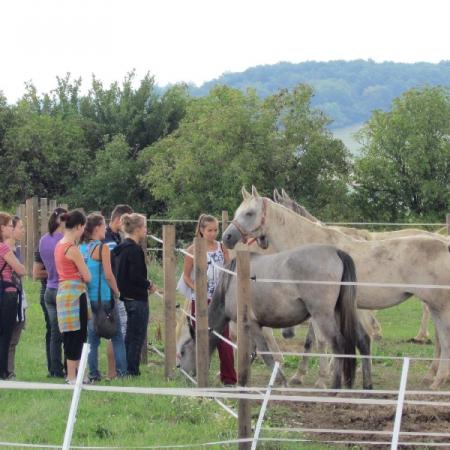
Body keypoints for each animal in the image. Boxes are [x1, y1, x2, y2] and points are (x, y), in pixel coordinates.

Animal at [179, 243, 370, 390]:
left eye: (182, 352)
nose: (181, 375)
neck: (231, 281)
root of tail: (336, 252)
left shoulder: (252, 325)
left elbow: (266, 354)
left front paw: (280, 381)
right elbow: (249, 354)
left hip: (323, 316)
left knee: (339, 344)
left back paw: (335, 388)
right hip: (341, 313)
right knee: (363, 340)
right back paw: (367, 386)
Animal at [225, 187, 450, 390]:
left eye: (249, 213)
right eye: (236, 212)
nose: (227, 237)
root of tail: (444, 244)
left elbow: (321, 341)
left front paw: (322, 378)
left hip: (439, 307)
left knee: (444, 338)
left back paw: (437, 379)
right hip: (435, 307)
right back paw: (435, 378)